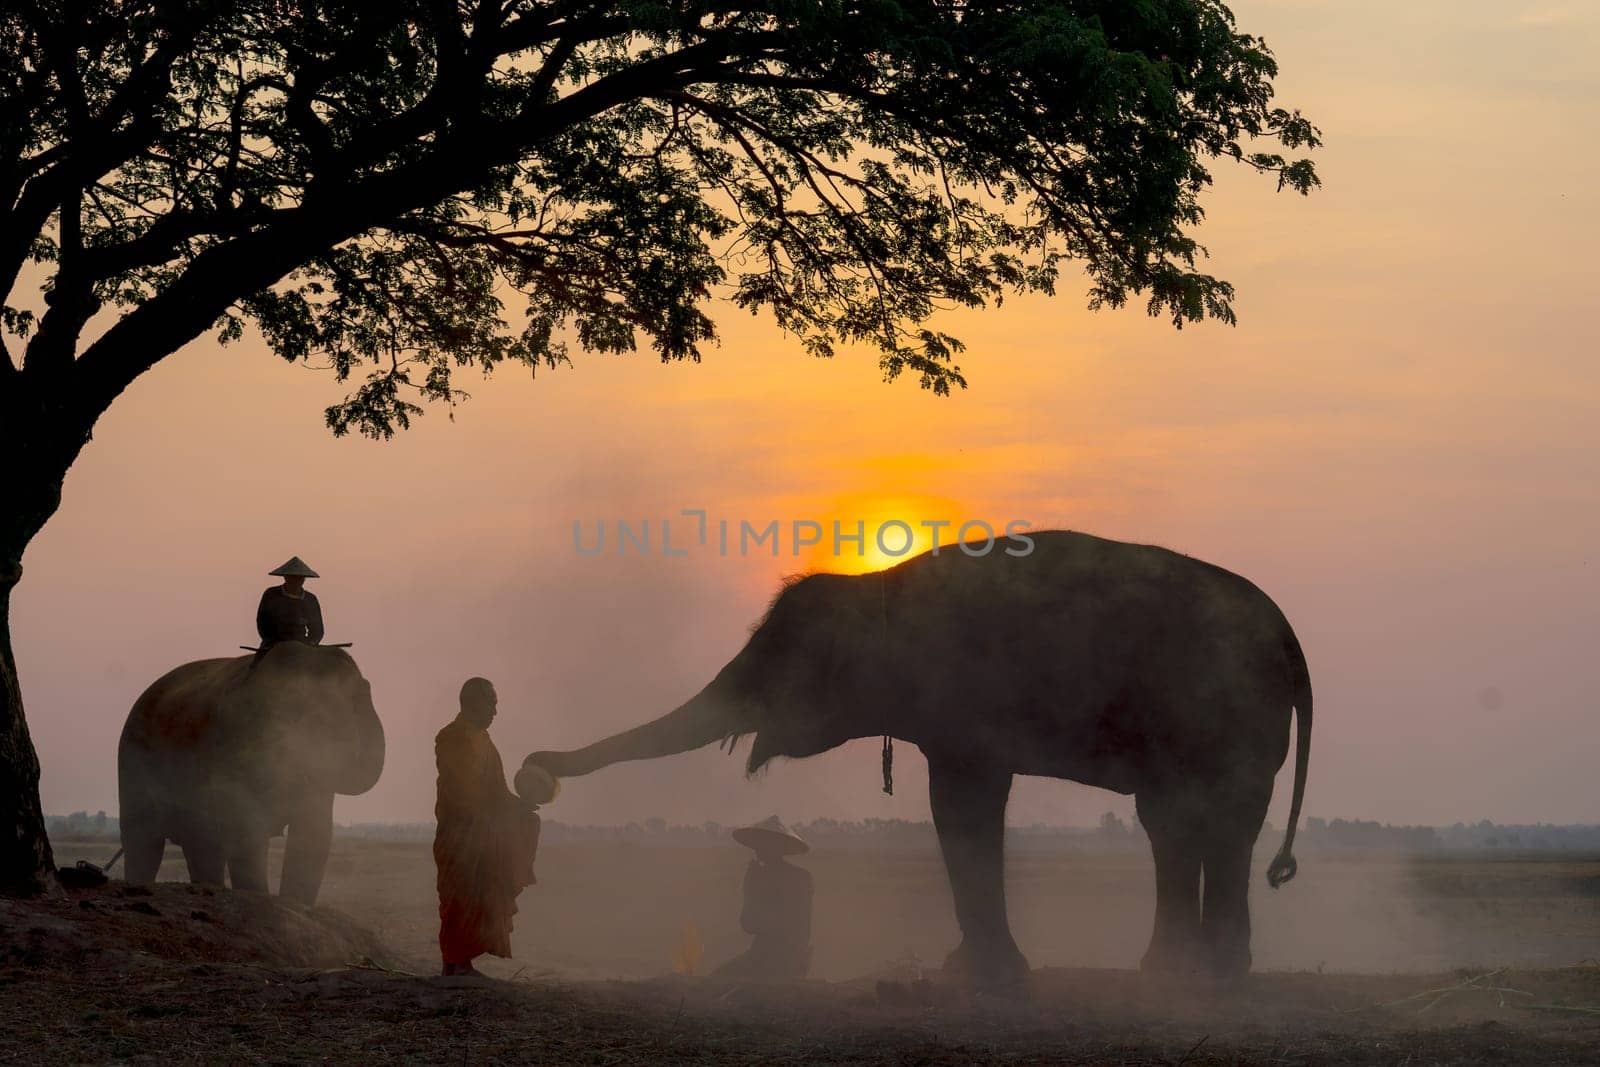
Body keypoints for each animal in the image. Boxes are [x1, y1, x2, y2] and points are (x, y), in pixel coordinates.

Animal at [116, 639, 385, 908]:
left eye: (358, 699)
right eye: (297, 710)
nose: (367, 686)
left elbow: (315, 831)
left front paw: (297, 905)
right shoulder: (234, 743)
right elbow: (246, 828)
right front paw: (263, 898)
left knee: (202, 844)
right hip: (131, 757)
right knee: (144, 840)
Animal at [524, 531, 1312, 991]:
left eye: (780, 664)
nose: (534, 768)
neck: (880, 587)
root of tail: (1288, 634)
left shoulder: (966, 709)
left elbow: (963, 807)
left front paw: (987, 978)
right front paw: (971, 972)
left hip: (1236, 716)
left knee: (1222, 822)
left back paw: (1215, 975)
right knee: (1172, 821)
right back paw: (1174, 973)